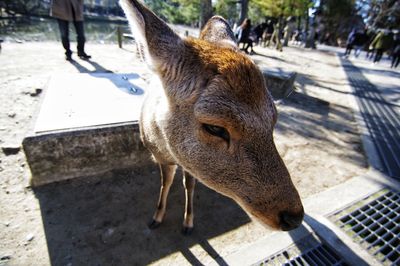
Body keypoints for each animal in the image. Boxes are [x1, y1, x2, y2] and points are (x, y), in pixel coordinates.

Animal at [119, 0, 304, 235]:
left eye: (274, 120)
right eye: (215, 127)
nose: (294, 217)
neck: (164, 147)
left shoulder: (187, 164)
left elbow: (189, 184)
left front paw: (188, 222)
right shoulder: (160, 157)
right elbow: (165, 182)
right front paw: (156, 218)